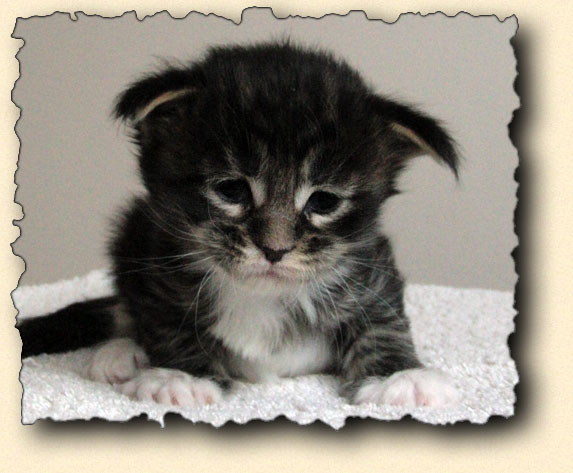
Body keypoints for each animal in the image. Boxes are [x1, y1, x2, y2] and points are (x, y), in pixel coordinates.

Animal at [19, 41, 460, 408]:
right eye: (231, 190)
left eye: (324, 201)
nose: (275, 249)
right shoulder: (154, 253)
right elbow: (165, 316)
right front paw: (181, 376)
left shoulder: (370, 260)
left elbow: (382, 314)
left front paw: (398, 377)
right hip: (130, 229)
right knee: (122, 310)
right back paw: (120, 353)